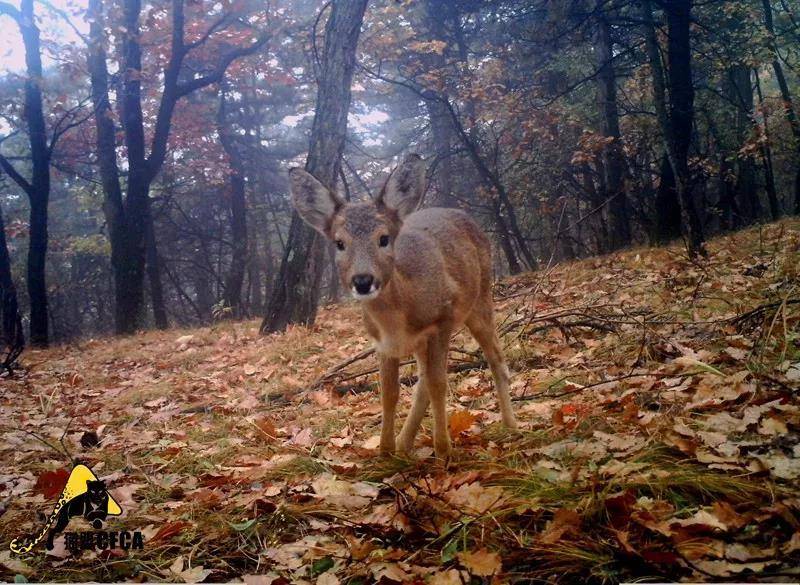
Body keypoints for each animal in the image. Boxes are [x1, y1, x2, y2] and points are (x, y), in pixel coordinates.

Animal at [290, 154, 516, 456]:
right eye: (339, 243)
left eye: (384, 238)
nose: (363, 280)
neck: (399, 317)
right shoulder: (383, 343)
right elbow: (390, 393)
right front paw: (386, 452)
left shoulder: (442, 321)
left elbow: (439, 384)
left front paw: (444, 451)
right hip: (425, 341)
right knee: (421, 382)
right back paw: (404, 443)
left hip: (480, 301)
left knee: (496, 359)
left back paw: (511, 425)